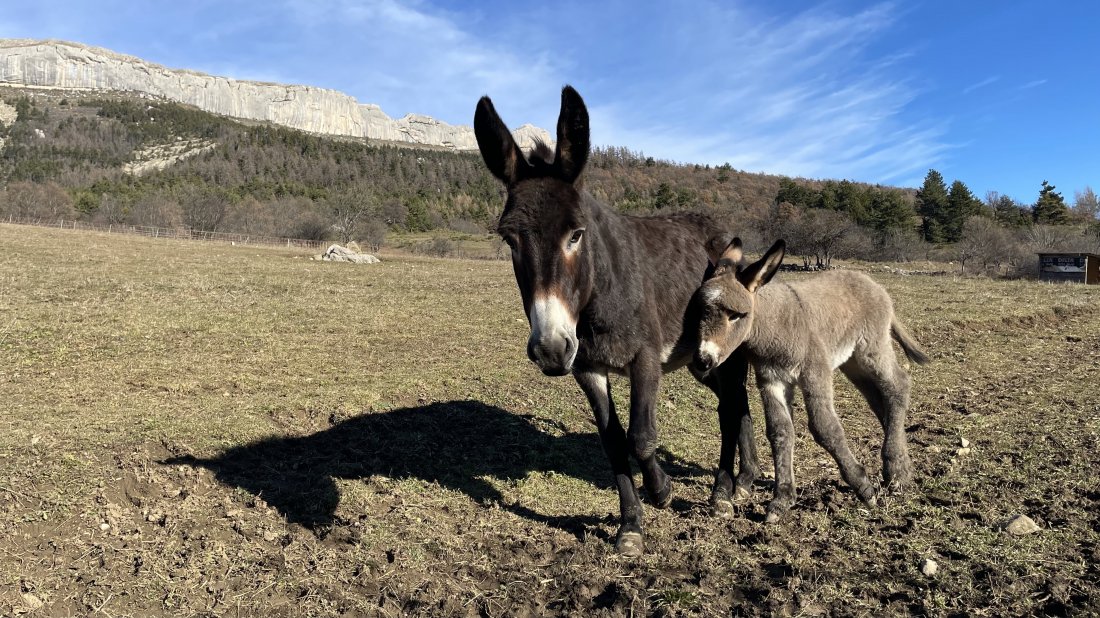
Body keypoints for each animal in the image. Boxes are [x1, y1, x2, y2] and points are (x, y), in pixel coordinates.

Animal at [695, 235, 928, 519]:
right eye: (699, 311)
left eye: (736, 315)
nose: (703, 361)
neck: (776, 324)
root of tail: (871, 283)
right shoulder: (771, 379)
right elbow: (780, 431)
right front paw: (782, 499)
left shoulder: (814, 372)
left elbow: (824, 427)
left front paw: (863, 488)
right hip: (852, 362)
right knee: (879, 397)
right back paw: (900, 466)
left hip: (871, 349)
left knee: (898, 386)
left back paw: (896, 470)